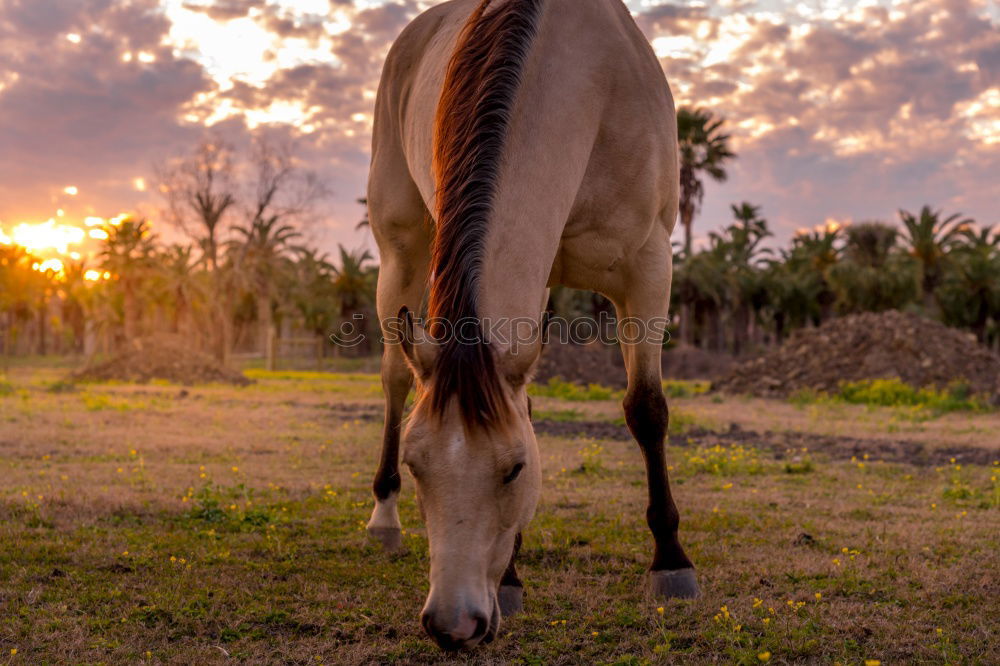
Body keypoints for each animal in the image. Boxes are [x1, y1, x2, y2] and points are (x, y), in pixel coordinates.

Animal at [366, 0, 696, 648]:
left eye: (516, 467)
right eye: (418, 466)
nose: (453, 623)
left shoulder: (649, 266)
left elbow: (647, 408)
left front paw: (670, 561)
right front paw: (513, 577)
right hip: (402, 253)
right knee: (395, 379)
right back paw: (384, 519)